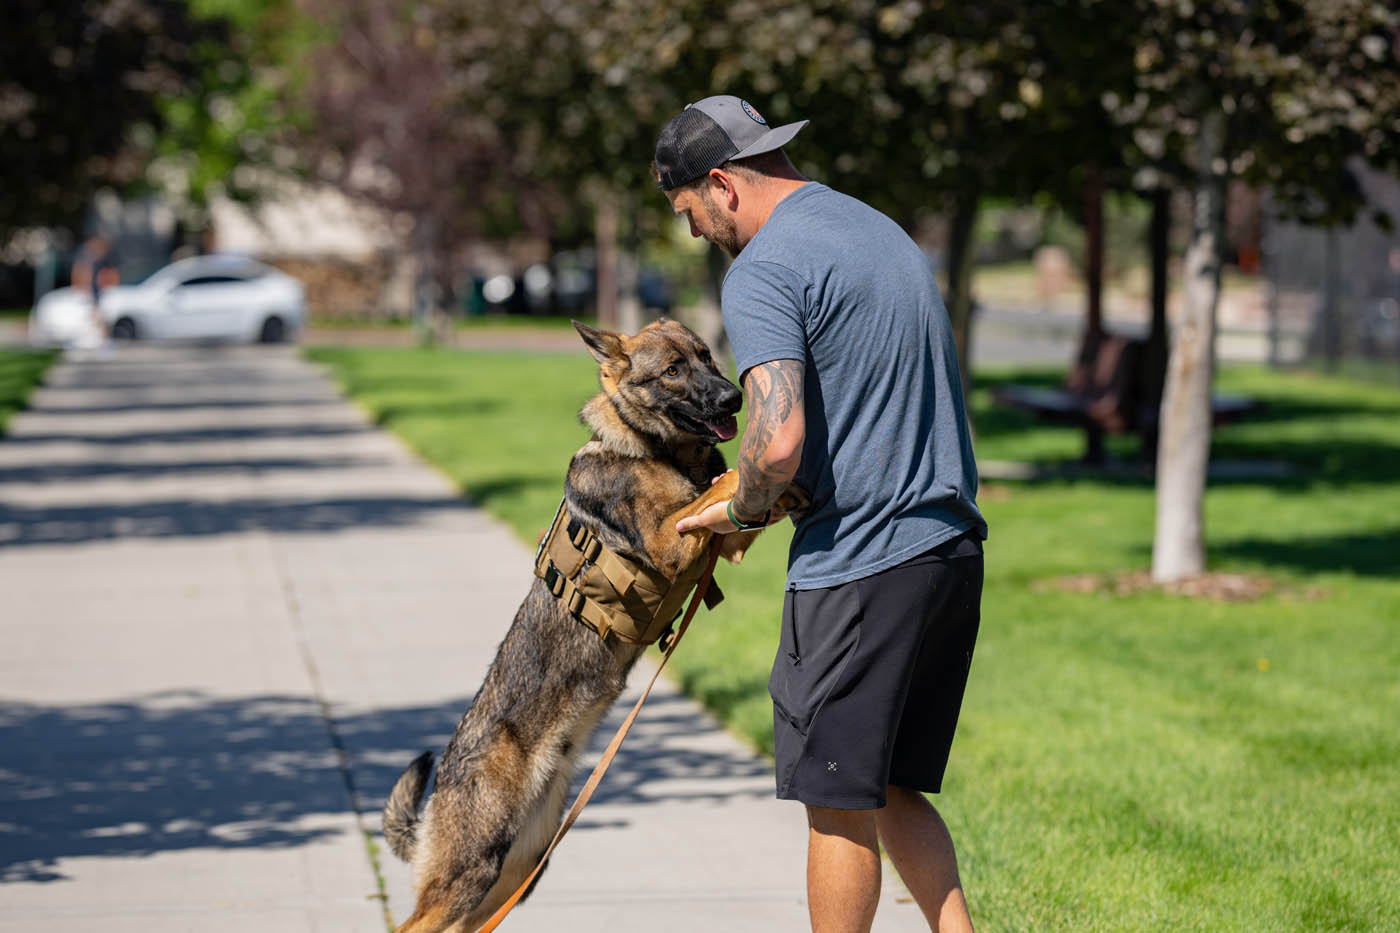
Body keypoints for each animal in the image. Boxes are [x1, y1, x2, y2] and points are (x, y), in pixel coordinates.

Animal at [383, 316, 800, 924]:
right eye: (672, 370)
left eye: (706, 355)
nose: (734, 398)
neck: (656, 451)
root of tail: (445, 782)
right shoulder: (671, 541)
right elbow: (717, 488)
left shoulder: (728, 541)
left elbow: (736, 495)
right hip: (471, 869)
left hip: (514, 874)